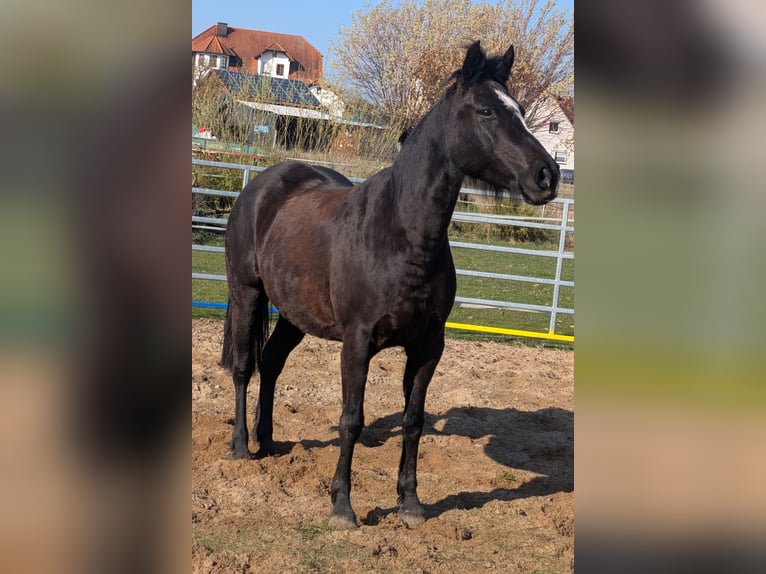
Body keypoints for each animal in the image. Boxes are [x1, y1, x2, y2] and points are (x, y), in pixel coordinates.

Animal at [220, 41, 560, 530]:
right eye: (486, 111)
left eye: (522, 110)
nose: (547, 175)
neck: (403, 234)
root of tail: (262, 185)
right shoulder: (357, 343)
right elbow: (352, 419)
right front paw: (342, 507)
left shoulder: (427, 347)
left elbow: (413, 421)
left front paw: (410, 503)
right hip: (247, 294)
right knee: (245, 367)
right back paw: (241, 448)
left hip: (293, 314)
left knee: (271, 363)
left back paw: (268, 442)